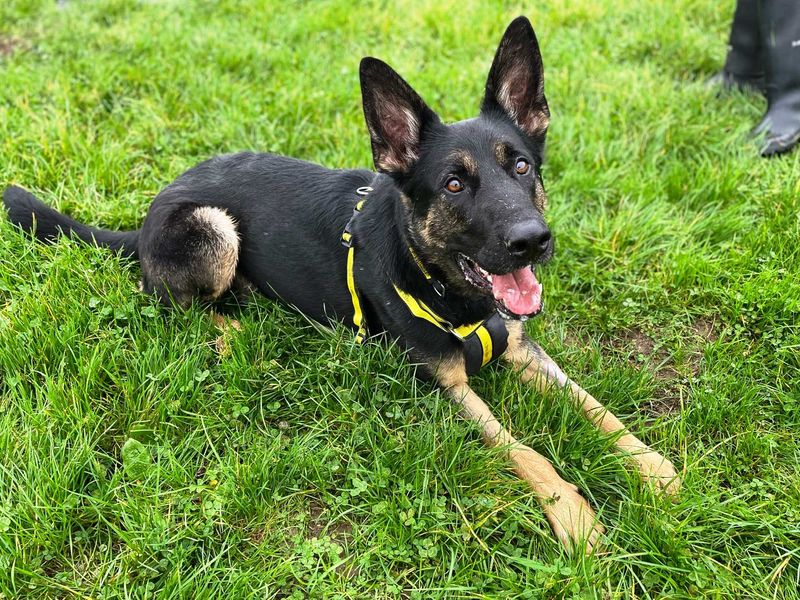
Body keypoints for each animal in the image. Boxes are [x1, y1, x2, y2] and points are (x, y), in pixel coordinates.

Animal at [3, 16, 680, 552]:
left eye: (520, 166)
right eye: (454, 185)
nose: (532, 240)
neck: (447, 288)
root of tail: (143, 221)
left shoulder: (522, 345)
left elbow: (595, 406)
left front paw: (651, 466)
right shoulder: (445, 386)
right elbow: (523, 450)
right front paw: (574, 513)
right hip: (212, 229)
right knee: (171, 303)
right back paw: (232, 332)